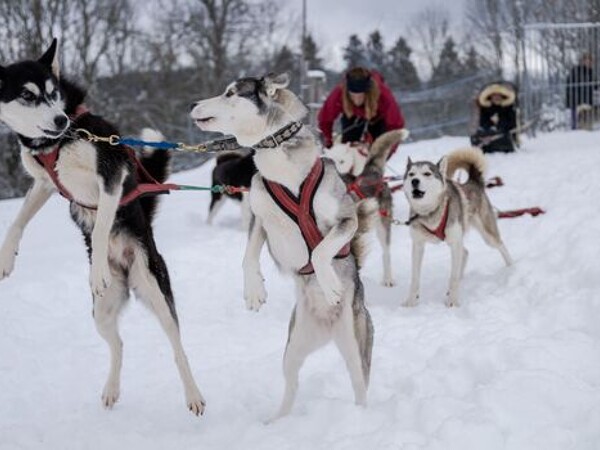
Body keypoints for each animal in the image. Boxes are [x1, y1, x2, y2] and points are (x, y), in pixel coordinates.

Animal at [404, 147, 510, 306]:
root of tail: (474, 182)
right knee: (464, 253)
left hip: (487, 236)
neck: (430, 212)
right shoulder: (418, 245)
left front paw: (452, 301)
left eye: (427, 173)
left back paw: (511, 268)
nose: (414, 181)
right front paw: (411, 302)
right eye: (411, 174)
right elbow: (415, 278)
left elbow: (453, 277)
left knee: (501, 246)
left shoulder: (454, 243)